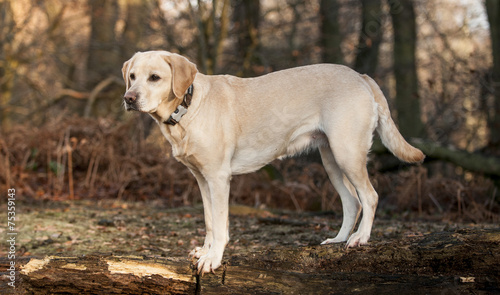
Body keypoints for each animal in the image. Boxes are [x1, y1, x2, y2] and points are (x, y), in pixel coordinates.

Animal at [121, 51, 422, 276]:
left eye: (155, 77)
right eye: (132, 77)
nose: (128, 98)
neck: (187, 106)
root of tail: (360, 76)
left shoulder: (218, 177)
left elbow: (219, 223)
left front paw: (213, 258)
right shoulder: (202, 179)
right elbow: (209, 221)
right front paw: (206, 251)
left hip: (347, 152)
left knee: (370, 196)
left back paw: (360, 238)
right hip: (331, 159)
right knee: (352, 201)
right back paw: (338, 240)